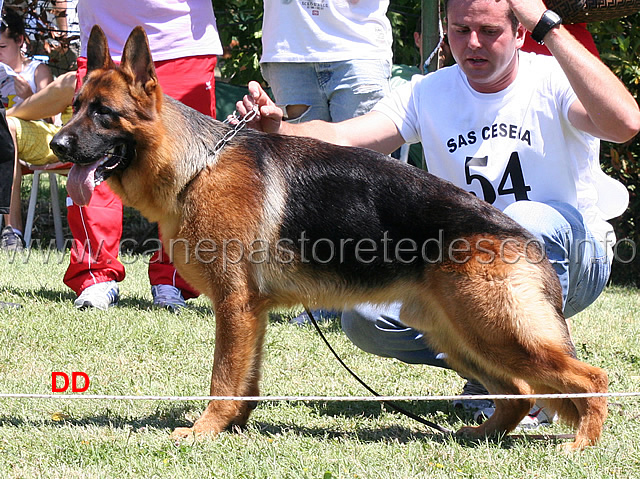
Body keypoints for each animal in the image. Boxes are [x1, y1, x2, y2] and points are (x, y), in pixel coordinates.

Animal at [52, 26, 608, 452]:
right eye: (75, 105)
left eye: (103, 113)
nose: (56, 144)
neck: (197, 166)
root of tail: (524, 238)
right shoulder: (250, 314)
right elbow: (245, 380)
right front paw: (234, 428)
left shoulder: (234, 305)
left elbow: (222, 378)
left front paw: (204, 430)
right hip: (457, 334)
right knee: (519, 392)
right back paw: (479, 435)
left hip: (494, 331)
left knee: (589, 379)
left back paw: (581, 444)